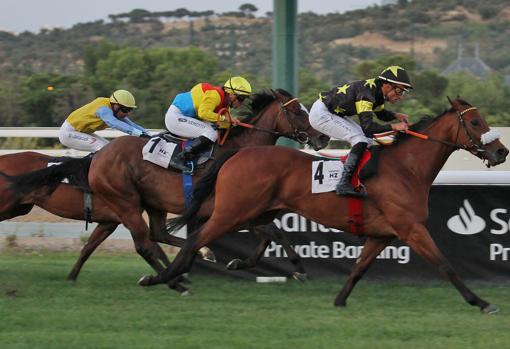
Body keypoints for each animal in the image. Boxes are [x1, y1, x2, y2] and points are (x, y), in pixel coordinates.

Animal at [1, 89, 328, 280]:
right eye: (298, 111)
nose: (322, 137)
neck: (237, 149)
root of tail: (99, 158)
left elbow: (272, 233)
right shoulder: (225, 208)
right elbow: (271, 232)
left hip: (149, 202)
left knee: (156, 234)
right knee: (153, 237)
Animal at [146, 97, 506, 312]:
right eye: (475, 123)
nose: (501, 151)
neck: (406, 168)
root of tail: (237, 154)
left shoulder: (383, 235)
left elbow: (358, 269)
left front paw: (339, 300)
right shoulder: (411, 228)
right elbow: (445, 265)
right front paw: (481, 301)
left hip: (259, 210)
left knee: (260, 234)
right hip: (233, 210)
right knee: (196, 238)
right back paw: (165, 278)